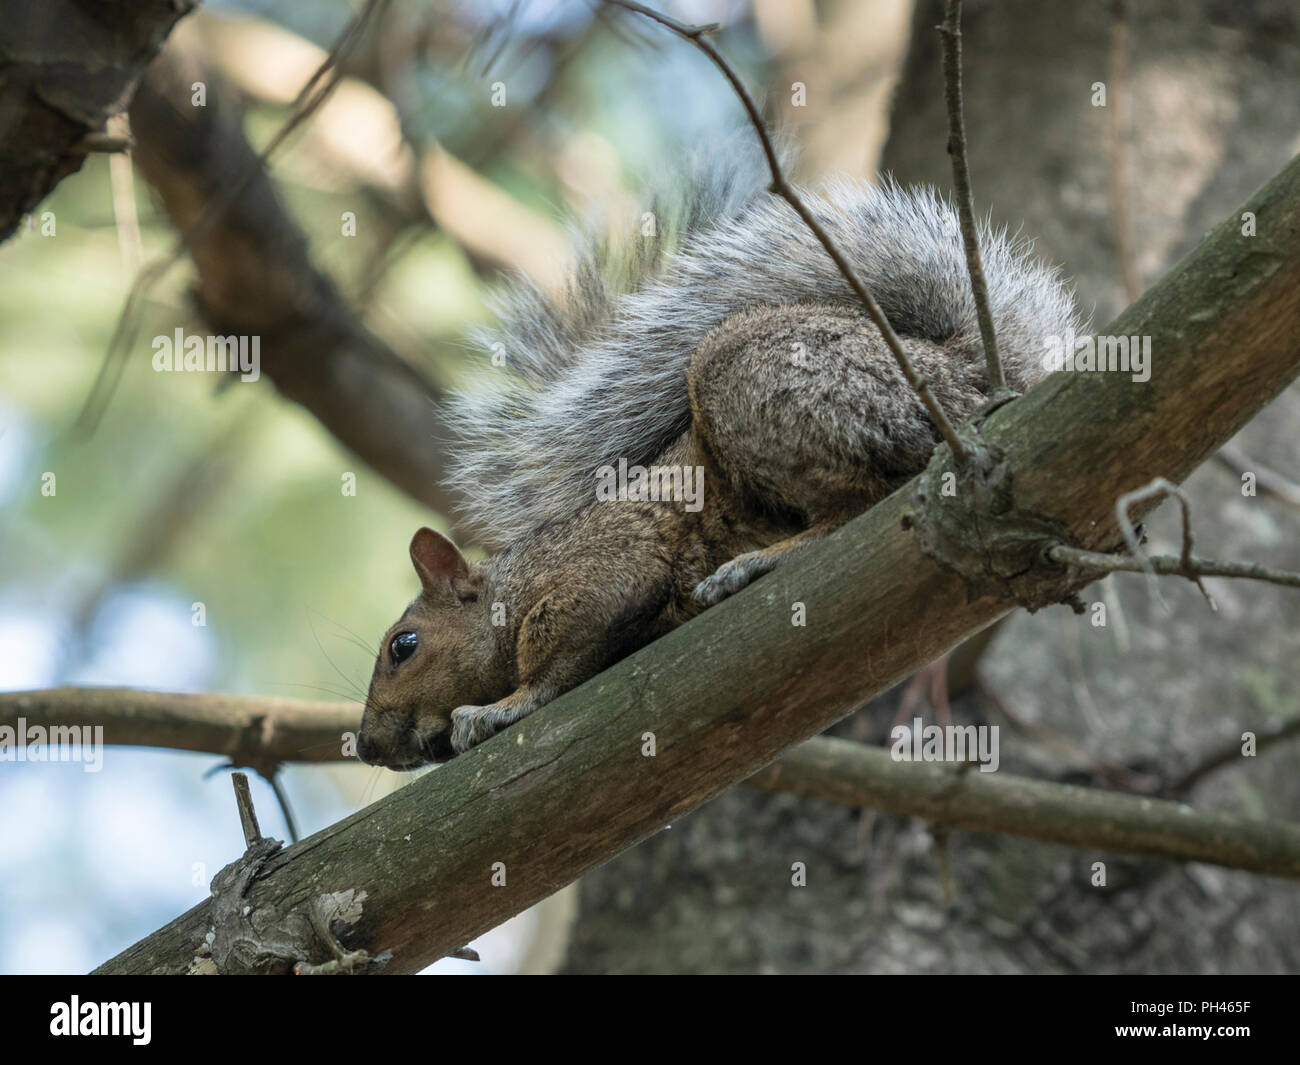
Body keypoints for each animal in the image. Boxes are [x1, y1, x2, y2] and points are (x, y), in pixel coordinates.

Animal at [356, 148, 1080, 770]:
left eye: (403, 646)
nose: (364, 747)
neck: (515, 582)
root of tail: (959, 376)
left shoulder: (598, 573)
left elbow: (557, 663)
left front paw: (497, 710)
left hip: (758, 384)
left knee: (853, 506)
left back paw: (752, 565)